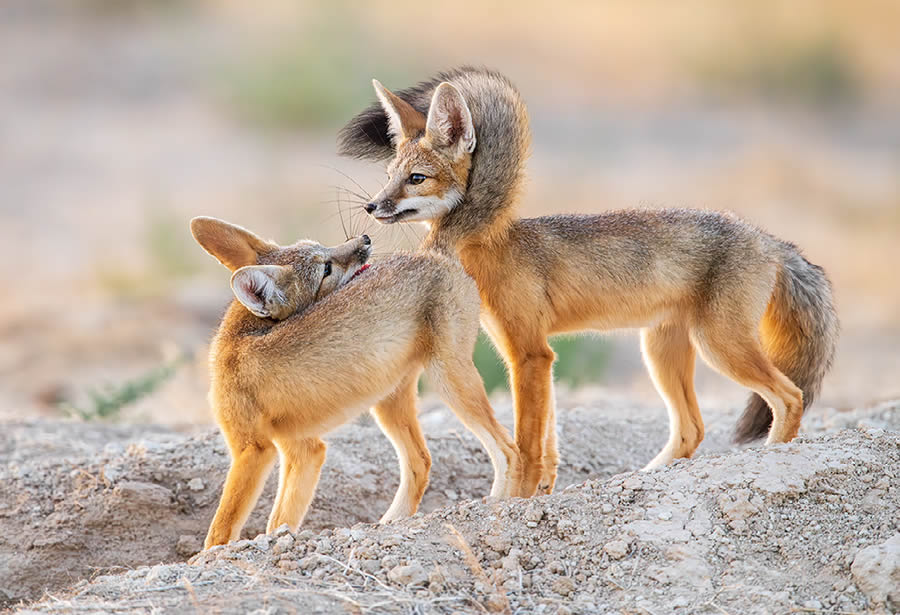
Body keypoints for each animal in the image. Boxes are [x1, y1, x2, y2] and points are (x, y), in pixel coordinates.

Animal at [338, 67, 836, 496]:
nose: (371, 206)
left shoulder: (529, 354)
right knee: (692, 429)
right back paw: (642, 478)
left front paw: (513, 503)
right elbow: (548, 448)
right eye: (388, 177)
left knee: (790, 397)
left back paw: (772, 460)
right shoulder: (538, 354)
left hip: (720, 346)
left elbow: (526, 447)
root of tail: (766, 238)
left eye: (416, 179)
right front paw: (539, 494)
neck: (488, 244)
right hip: (661, 352)